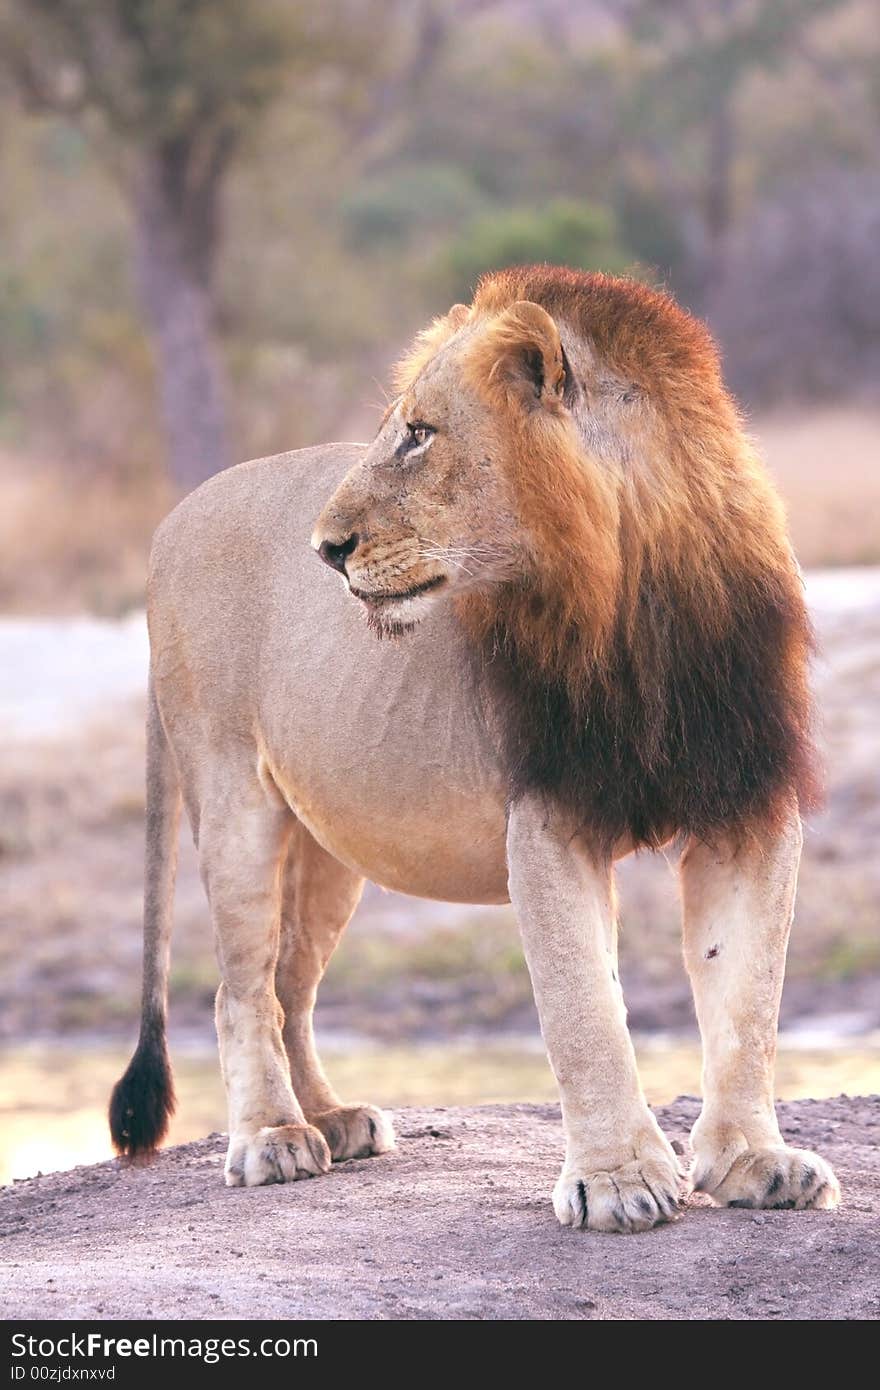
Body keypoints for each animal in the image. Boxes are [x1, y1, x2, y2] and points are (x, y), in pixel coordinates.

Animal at [109, 265, 839, 1234]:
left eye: (419, 434)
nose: (324, 549)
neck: (636, 593)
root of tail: (167, 523)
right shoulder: (547, 816)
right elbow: (584, 1009)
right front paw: (617, 1181)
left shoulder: (747, 801)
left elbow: (748, 998)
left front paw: (754, 1163)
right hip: (235, 797)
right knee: (240, 988)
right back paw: (272, 1136)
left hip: (329, 844)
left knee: (291, 984)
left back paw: (332, 1118)